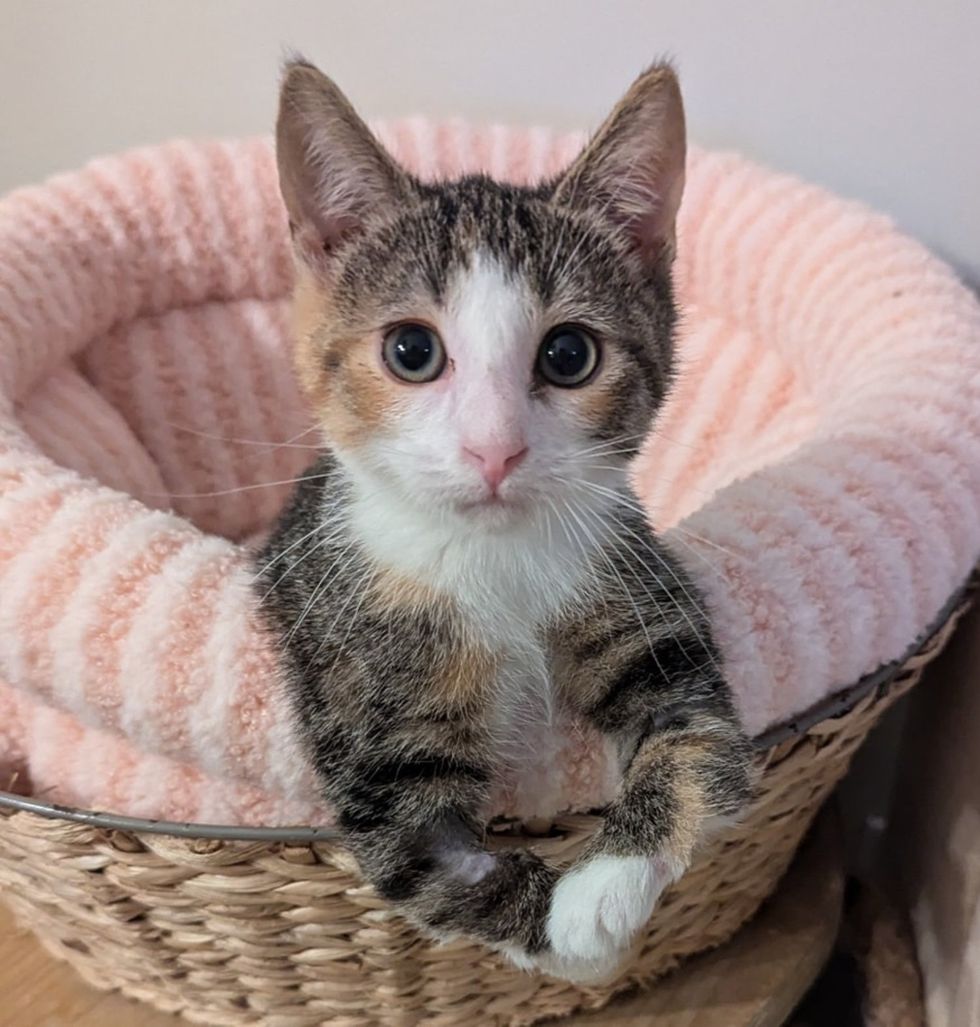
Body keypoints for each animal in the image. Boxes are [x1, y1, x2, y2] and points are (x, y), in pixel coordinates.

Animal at [255, 58, 751, 985]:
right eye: (411, 350)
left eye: (569, 354)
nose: (495, 449)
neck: (496, 559)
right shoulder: (359, 712)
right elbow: (432, 859)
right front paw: (568, 936)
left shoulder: (637, 583)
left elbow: (697, 734)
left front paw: (605, 885)